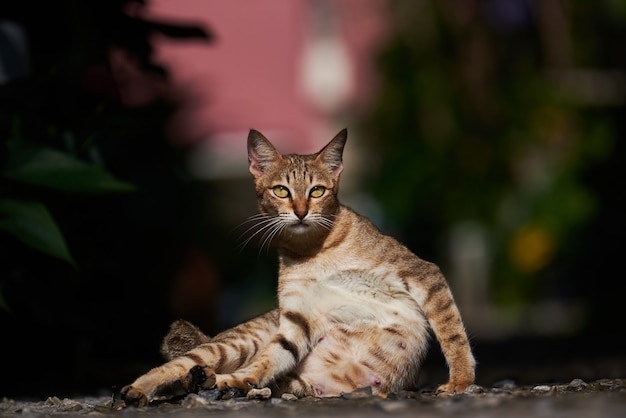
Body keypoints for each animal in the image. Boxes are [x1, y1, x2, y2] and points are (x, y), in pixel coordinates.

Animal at [120, 130, 472, 404]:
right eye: (281, 190)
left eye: (317, 190)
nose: (301, 212)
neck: (315, 251)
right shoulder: (298, 315)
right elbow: (273, 356)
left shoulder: (423, 273)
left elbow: (453, 334)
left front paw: (461, 382)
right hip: (232, 345)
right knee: (185, 366)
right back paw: (143, 388)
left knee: (249, 379)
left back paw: (225, 385)